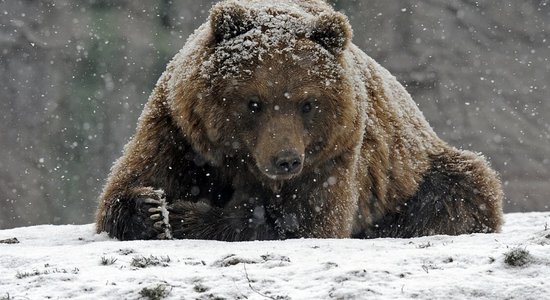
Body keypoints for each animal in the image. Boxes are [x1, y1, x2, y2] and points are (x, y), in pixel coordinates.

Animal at [96, 0, 504, 240]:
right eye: (254, 102)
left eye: (308, 103)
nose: (286, 160)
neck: (240, 161)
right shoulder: (179, 131)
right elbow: (130, 183)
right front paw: (152, 210)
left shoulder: (336, 153)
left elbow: (304, 220)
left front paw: (186, 216)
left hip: (414, 173)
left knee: (461, 187)